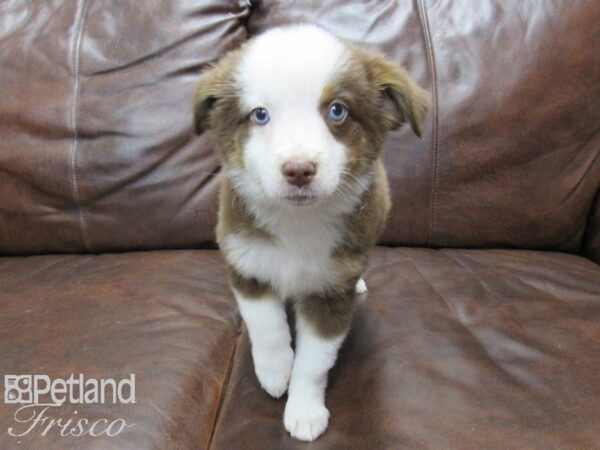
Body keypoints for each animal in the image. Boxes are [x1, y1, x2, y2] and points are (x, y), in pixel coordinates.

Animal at [195, 23, 428, 440]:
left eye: (337, 111)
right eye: (260, 115)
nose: (299, 169)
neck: (296, 223)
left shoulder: (331, 292)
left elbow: (315, 361)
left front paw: (304, 411)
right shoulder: (246, 262)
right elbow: (266, 327)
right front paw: (275, 372)